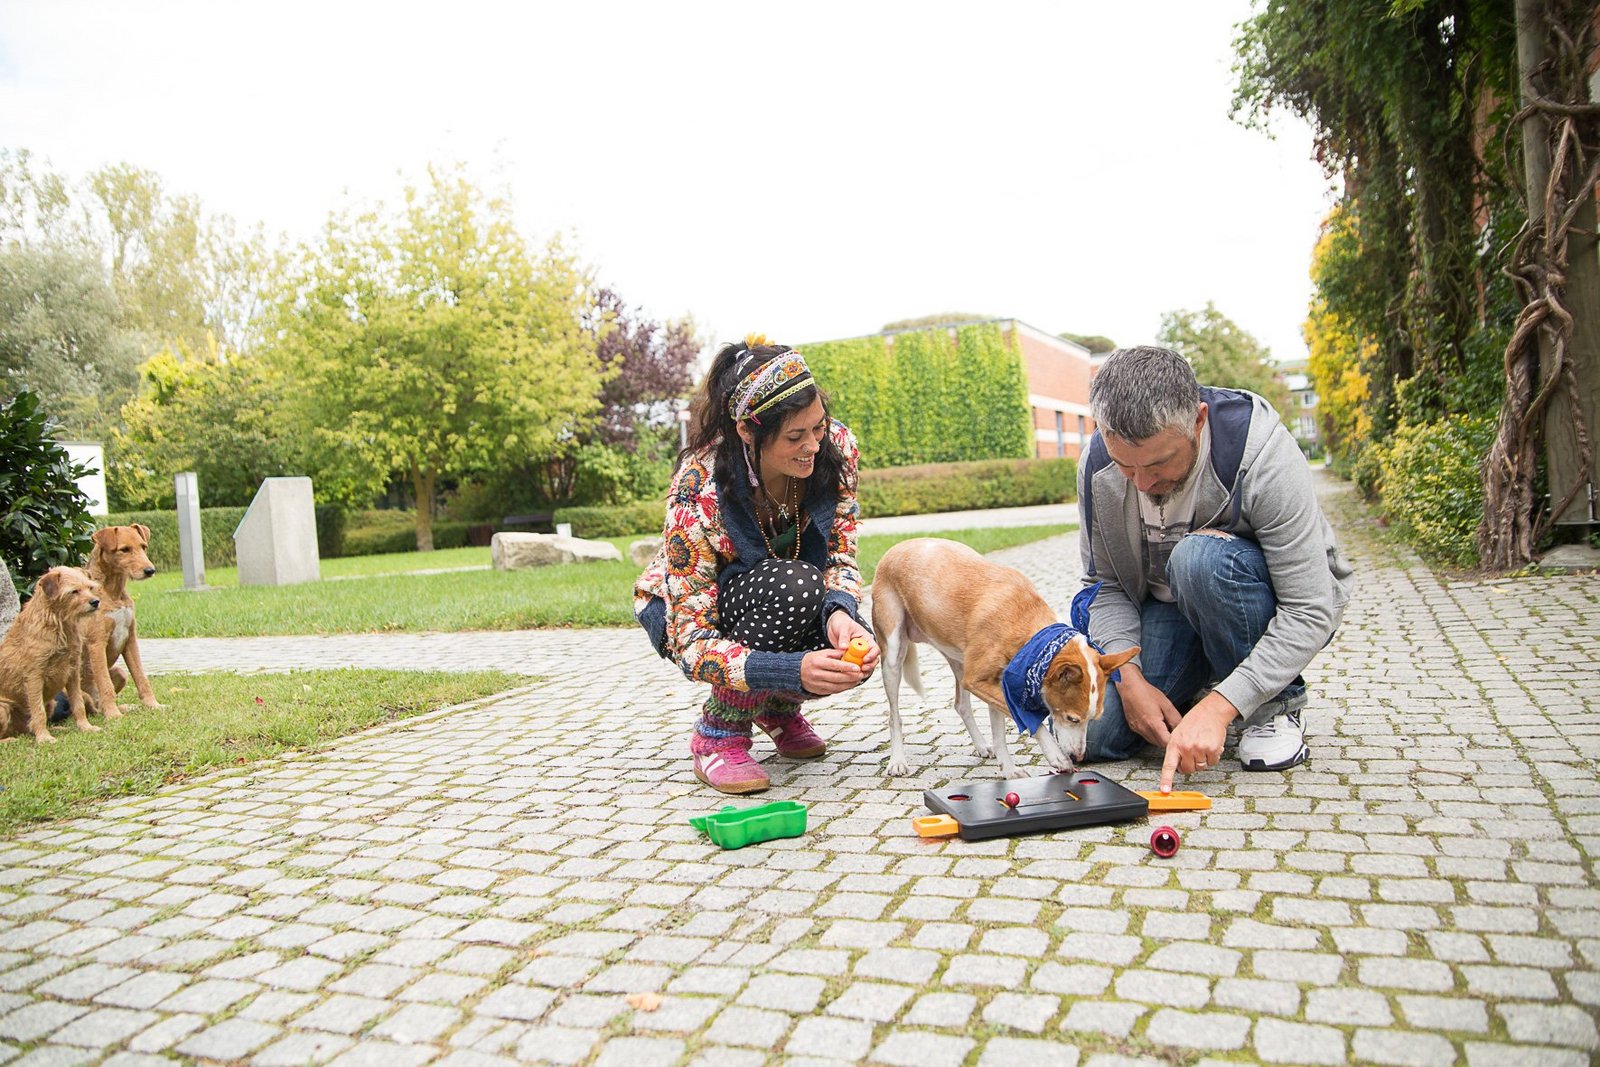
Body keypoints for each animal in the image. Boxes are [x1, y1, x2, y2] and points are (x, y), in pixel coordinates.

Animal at [0, 566, 103, 742]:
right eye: (74, 591)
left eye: (90, 587)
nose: (95, 602)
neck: (59, 624)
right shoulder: (34, 676)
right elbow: (38, 711)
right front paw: (44, 739)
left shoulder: (73, 672)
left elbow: (78, 704)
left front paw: (86, 727)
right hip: (3, 708)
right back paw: (11, 740)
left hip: (51, 703)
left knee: (29, 728)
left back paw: (57, 728)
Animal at [864, 543, 1139, 777]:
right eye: (1073, 719)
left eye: (1094, 718)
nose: (1079, 756)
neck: (1022, 621)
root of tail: (896, 548)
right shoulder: (980, 682)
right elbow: (1029, 721)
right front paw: (1056, 756)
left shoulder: (994, 682)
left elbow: (999, 734)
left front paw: (1008, 769)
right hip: (893, 654)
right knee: (894, 716)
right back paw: (897, 761)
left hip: (958, 659)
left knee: (961, 705)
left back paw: (981, 745)